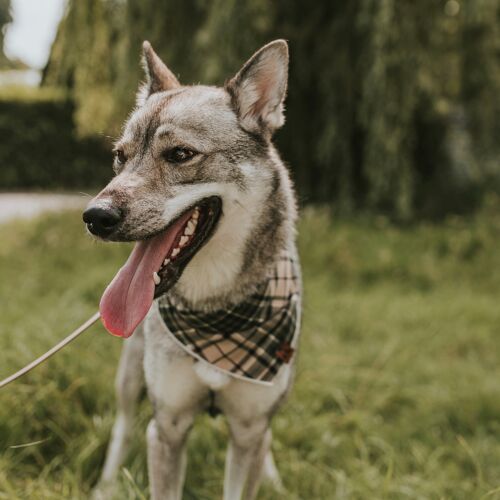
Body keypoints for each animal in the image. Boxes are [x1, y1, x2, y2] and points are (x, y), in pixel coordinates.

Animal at [83, 37, 300, 498]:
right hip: (130, 376)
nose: (94, 216)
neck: (215, 309)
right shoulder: (167, 427)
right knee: (122, 427)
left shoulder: (249, 430)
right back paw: (106, 485)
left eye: (180, 154)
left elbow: (253, 456)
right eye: (119, 157)